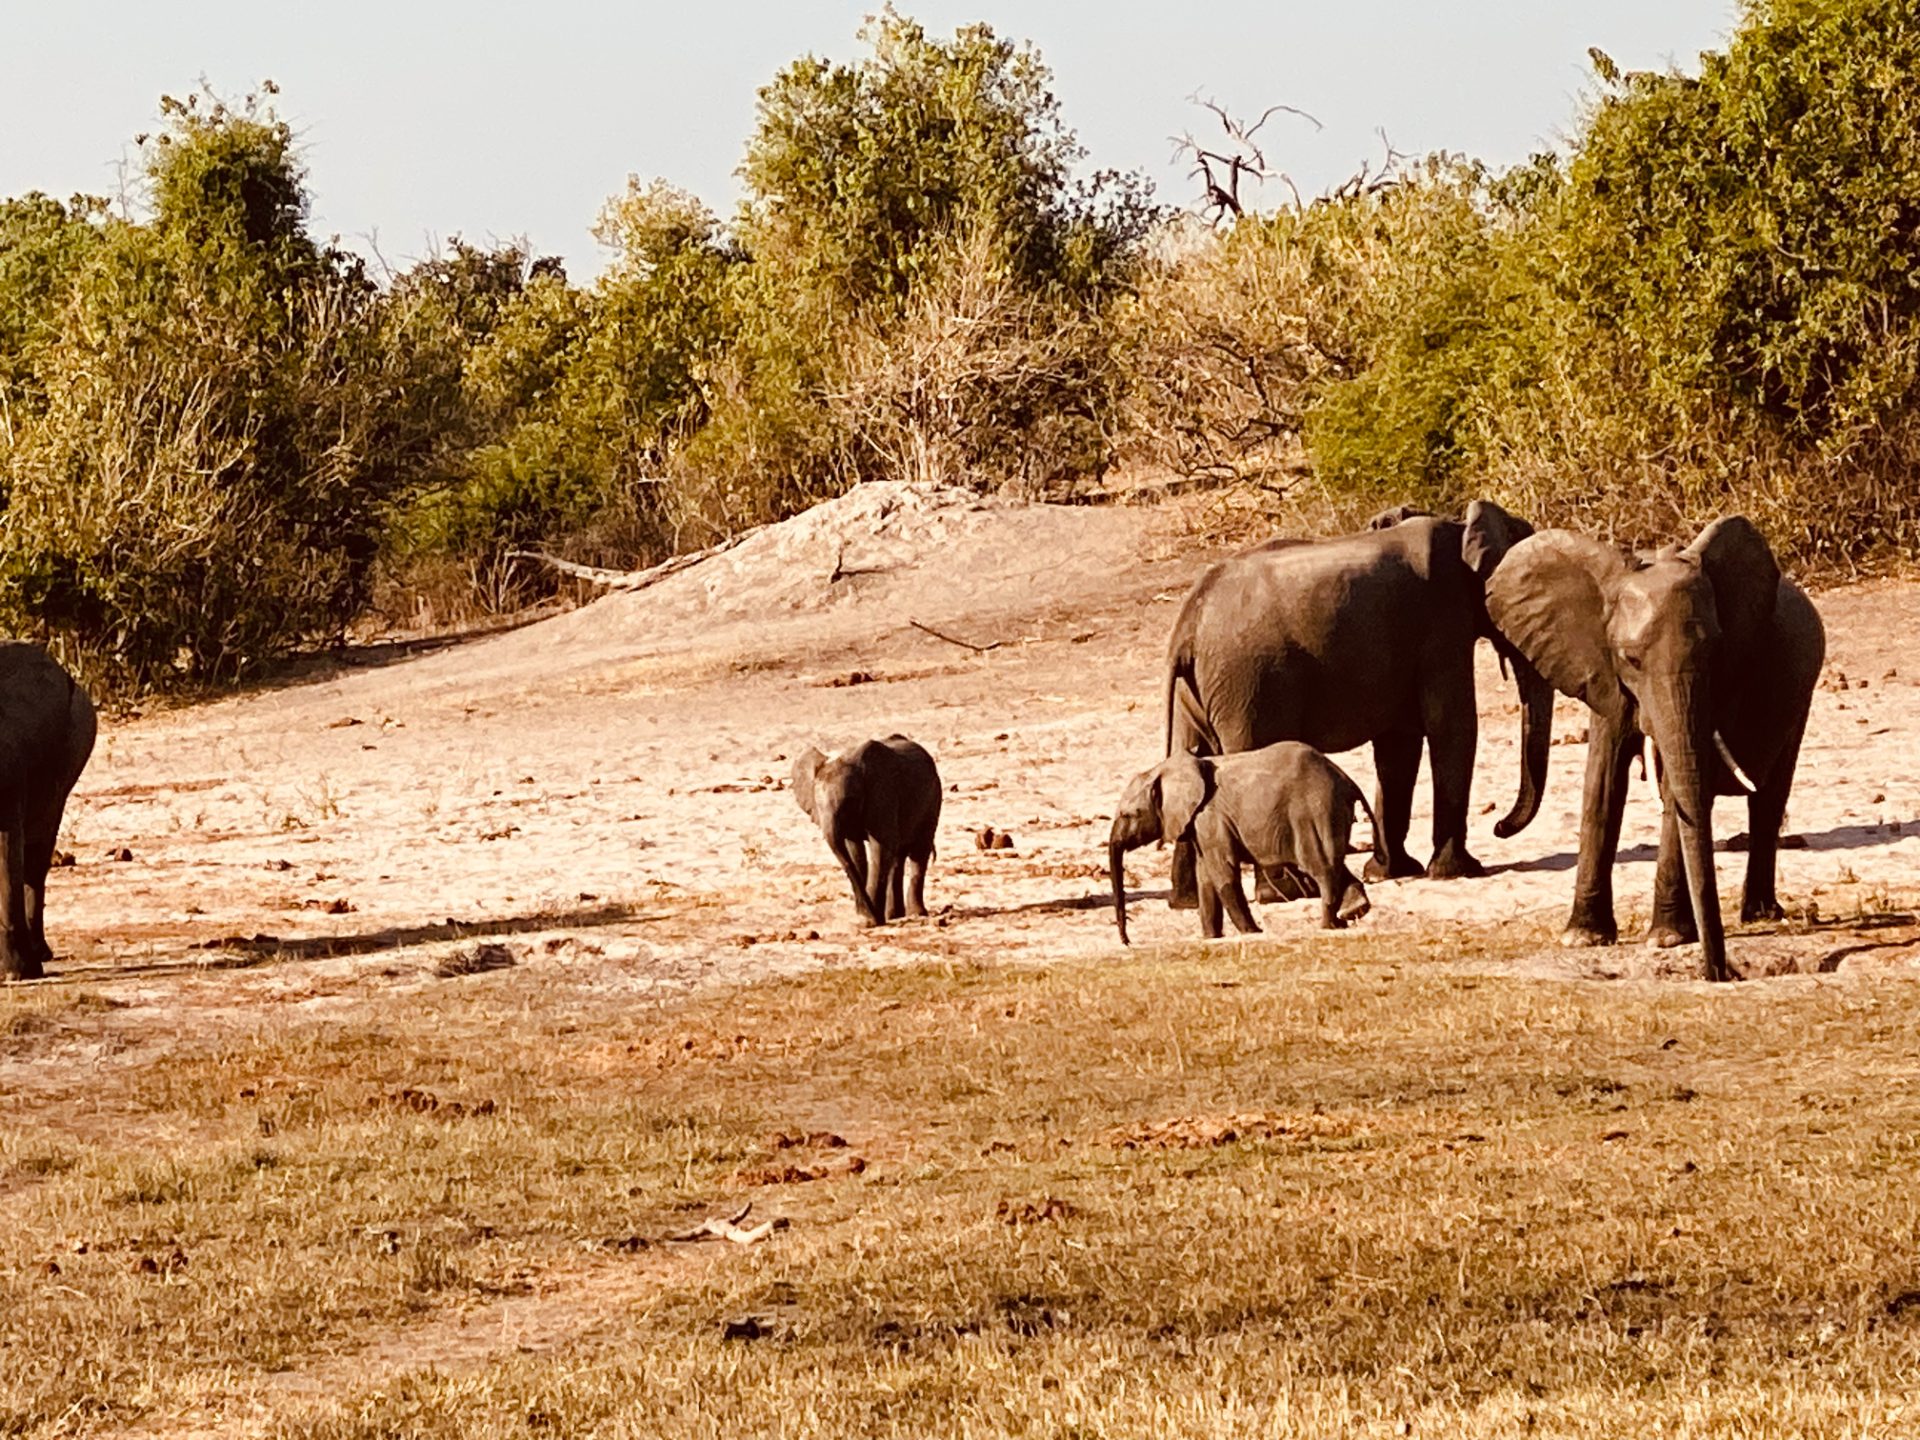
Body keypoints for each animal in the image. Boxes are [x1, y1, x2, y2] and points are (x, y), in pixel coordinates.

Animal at [791, 735, 941, 927]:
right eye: (817, 805)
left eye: (849, 802)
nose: (866, 916)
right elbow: (856, 852)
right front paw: (868, 919)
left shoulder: (883, 795)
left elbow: (880, 848)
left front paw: (871, 921)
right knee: (898, 858)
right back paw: (894, 916)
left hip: (933, 799)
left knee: (918, 852)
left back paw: (916, 914)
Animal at [1109, 743, 1374, 943]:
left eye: (1129, 815)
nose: (1127, 942)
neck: (1166, 769)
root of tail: (1346, 779)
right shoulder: (1200, 822)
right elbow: (1205, 876)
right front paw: (1211, 938)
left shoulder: (1210, 816)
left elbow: (1222, 873)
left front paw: (1252, 932)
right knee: (1333, 863)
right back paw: (1353, 912)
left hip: (1316, 811)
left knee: (1320, 866)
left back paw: (1328, 925)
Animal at [1163, 500, 1556, 906]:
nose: (1499, 826)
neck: (1462, 527)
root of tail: (1188, 623)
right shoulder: (1441, 624)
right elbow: (1451, 725)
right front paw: (1460, 871)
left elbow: (1399, 745)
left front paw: (1390, 872)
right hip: (1247, 682)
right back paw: (1286, 893)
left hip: (1201, 688)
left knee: (1188, 758)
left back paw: (1188, 900)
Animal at [1485, 516, 1824, 982]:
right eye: (1631, 659)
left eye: (1716, 651)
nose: (1719, 973)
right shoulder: (1602, 670)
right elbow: (1602, 785)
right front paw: (1583, 938)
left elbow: (1677, 789)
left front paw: (1666, 939)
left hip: (1802, 696)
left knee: (1769, 799)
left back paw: (1761, 915)